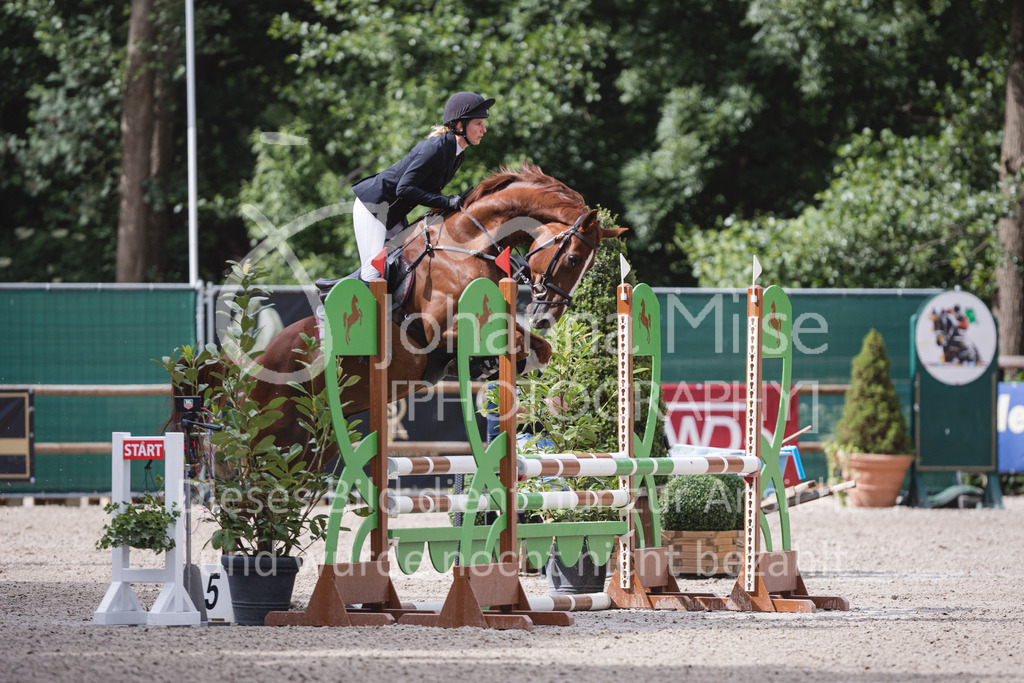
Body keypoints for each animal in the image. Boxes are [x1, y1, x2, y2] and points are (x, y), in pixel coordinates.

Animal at [178, 164, 625, 471]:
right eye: (572, 258)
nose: (547, 314)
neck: (467, 244)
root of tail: (246, 372)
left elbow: (540, 348)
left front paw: (531, 377)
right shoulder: (439, 330)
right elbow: (507, 341)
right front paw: (497, 367)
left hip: (307, 444)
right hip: (270, 436)